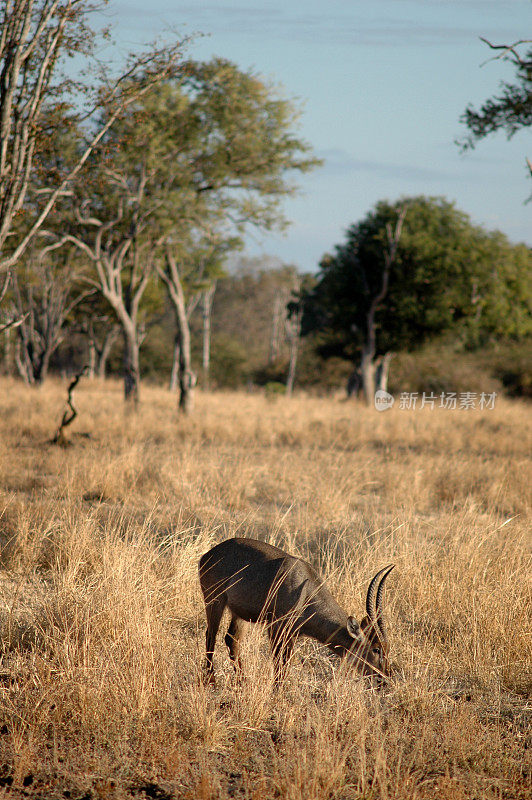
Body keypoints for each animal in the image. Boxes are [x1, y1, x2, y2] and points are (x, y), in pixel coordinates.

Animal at [197, 536, 392, 680]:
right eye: (376, 649)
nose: (385, 677)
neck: (305, 590)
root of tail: (207, 555)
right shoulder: (275, 627)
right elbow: (279, 664)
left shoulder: (292, 634)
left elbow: (285, 663)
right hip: (214, 601)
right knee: (211, 635)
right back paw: (211, 681)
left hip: (239, 614)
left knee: (231, 639)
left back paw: (242, 681)